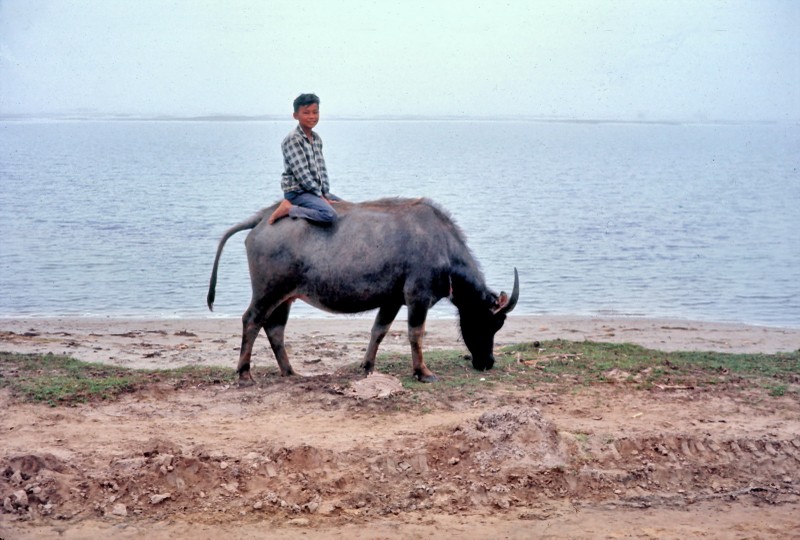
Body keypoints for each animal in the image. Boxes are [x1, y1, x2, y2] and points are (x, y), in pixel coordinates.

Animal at [206, 198, 520, 384]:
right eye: (491, 322)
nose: (488, 362)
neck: (441, 244)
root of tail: (263, 217)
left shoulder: (392, 301)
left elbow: (378, 331)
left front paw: (367, 366)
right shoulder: (417, 297)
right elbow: (415, 334)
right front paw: (423, 372)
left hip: (285, 297)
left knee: (275, 329)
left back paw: (290, 372)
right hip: (267, 291)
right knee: (251, 321)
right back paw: (245, 374)